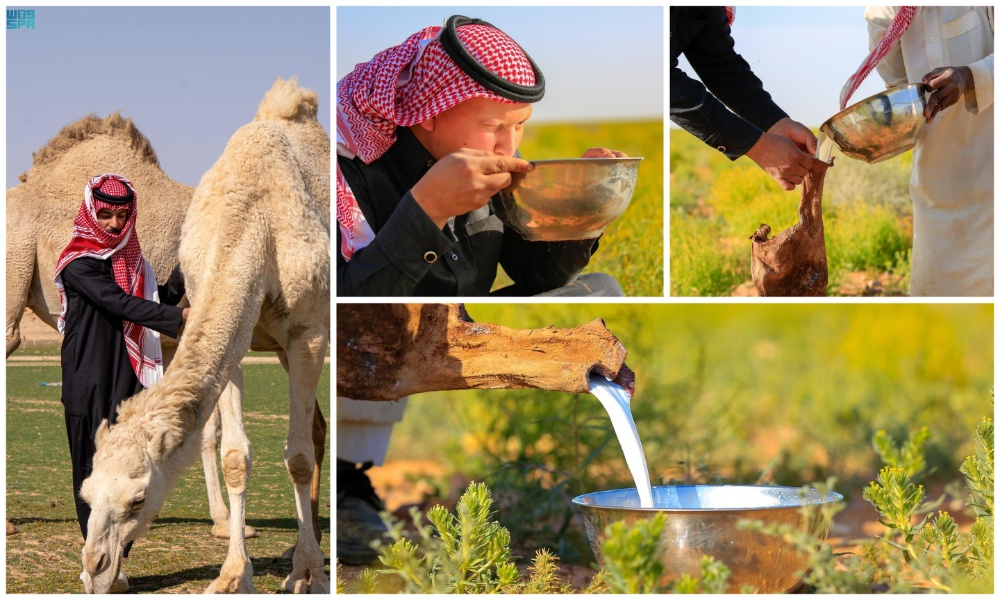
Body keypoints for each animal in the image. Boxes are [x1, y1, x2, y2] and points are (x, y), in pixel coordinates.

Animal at [78, 77, 330, 594]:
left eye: (138, 499)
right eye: (87, 493)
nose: (95, 569)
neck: (254, 221)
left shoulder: (309, 334)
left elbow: (296, 457)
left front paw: (307, 573)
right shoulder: (237, 345)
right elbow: (235, 457)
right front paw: (234, 575)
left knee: (315, 434)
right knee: (316, 427)